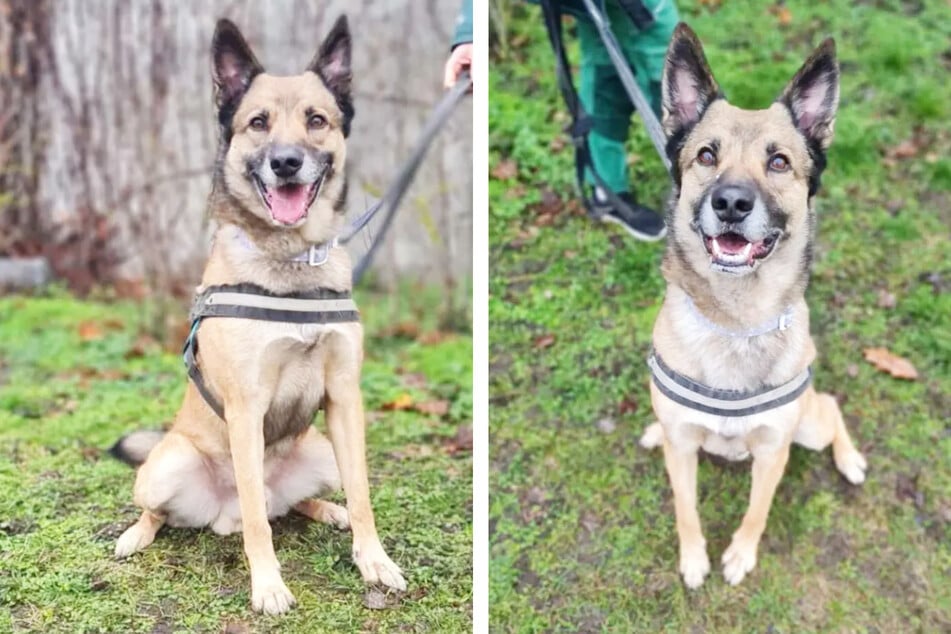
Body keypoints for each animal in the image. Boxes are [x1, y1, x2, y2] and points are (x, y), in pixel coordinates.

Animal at [109, 16, 408, 612]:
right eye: (257, 123)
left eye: (317, 120)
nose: (286, 162)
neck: (291, 262)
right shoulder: (246, 408)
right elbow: (255, 522)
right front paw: (268, 585)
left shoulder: (344, 398)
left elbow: (363, 494)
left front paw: (374, 560)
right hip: (168, 465)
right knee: (179, 511)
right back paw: (136, 534)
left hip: (320, 449)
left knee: (289, 504)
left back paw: (328, 510)